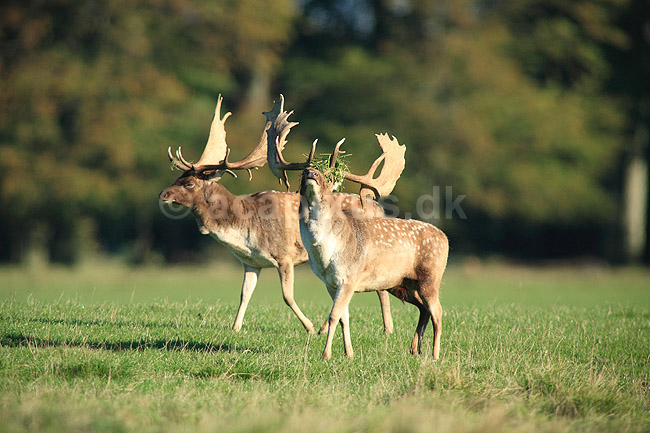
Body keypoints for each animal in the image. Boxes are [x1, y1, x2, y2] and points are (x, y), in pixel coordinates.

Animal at [159, 95, 395, 335]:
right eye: (178, 177)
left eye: (189, 183)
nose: (163, 194)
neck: (244, 231)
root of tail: (378, 207)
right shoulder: (251, 262)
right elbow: (244, 294)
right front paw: (235, 327)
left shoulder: (285, 255)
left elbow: (287, 296)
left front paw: (309, 327)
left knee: (381, 288)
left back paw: (386, 329)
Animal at [298, 137, 449, 360]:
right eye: (302, 172)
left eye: (330, 176)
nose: (310, 173)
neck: (326, 253)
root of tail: (445, 238)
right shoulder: (330, 283)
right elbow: (343, 317)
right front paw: (349, 353)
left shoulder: (349, 277)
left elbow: (334, 316)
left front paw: (326, 354)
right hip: (404, 283)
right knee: (424, 309)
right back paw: (414, 349)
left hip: (430, 277)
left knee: (437, 312)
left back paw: (434, 354)